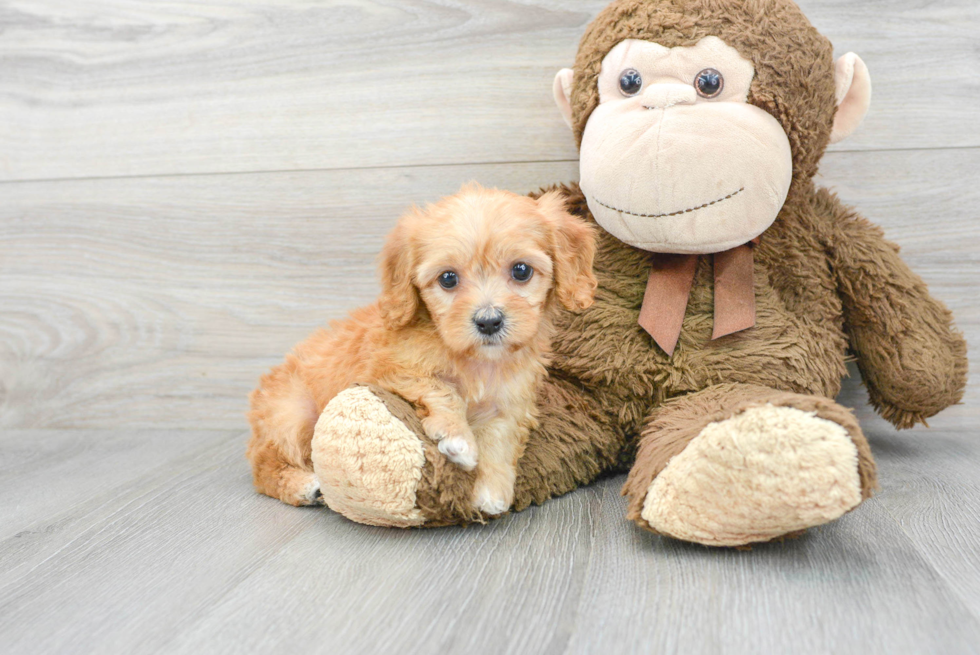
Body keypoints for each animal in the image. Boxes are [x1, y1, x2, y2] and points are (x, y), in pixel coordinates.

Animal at [245, 184, 596, 516]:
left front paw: (492, 491)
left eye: (521, 271)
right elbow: (441, 390)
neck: (476, 360)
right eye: (448, 278)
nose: (488, 321)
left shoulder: (511, 400)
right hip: (292, 415)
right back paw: (304, 486)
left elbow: (500, 437)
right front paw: (458, 439)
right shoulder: (391, 371)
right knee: (264, 464)